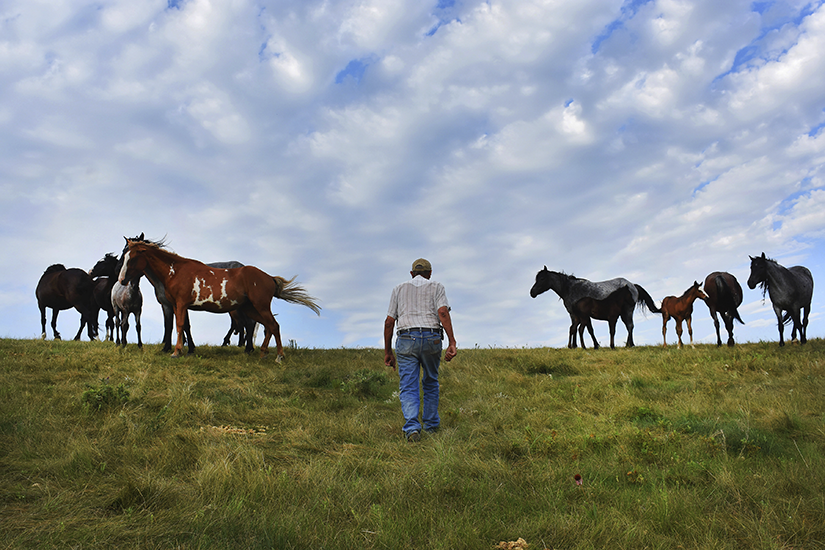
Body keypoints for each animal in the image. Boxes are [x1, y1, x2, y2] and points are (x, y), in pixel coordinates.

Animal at [117, 238, 320, 360]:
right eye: (124, 255)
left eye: (132, 258)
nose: (121, 280)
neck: (176, 271)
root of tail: (269, 277)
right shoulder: (178, 305)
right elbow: (183, 326)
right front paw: (185, 349)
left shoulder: (180, 304)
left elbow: (179, 325)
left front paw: (176, 351)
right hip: (250, 308)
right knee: (267, 326)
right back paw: (262, 353)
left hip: (260, 307)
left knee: (273, 326)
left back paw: (278, 356)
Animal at [532, 268, 660, 350]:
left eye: (542, 278)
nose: (532, 292)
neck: (570, 288)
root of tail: (633, 285)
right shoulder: (575, 315)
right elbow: (576, 328)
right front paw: (575, 346)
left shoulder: (581, 316)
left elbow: (586, 329)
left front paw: (593, 345)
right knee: (629, 326)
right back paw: (630, 344)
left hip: (627, 311)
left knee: (630, 325)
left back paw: (629, 344)